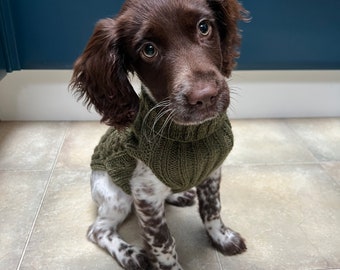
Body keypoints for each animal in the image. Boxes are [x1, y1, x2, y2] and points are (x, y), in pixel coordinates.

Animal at [70, 1, 248, 268]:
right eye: (149, 50)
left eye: (204, 27)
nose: (205, 97)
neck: (188, 135)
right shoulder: (144, 195)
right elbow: (163, 243)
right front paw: (169, 264)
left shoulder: (212, 171)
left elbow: (212, 209)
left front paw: (222, 237)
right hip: (115, 196)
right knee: (98, 229)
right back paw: (130, 255)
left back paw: (179, 195)